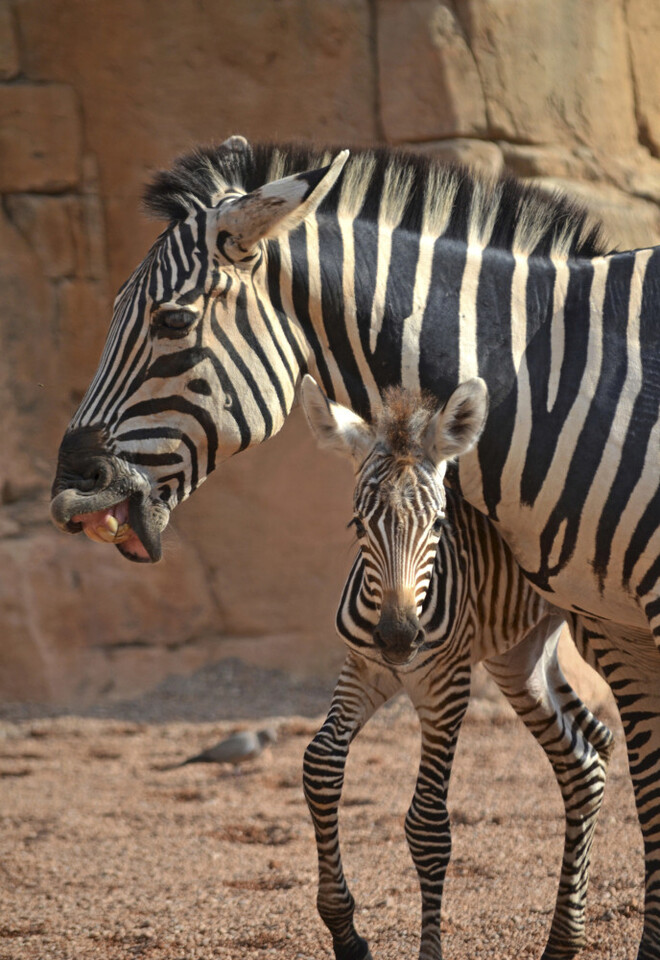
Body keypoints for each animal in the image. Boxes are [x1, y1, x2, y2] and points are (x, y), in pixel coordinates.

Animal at [300, 373, 614, 960]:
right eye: (358, 524)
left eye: (439, 524)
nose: (400, 637)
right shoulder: (363, 670)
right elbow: (321, 764)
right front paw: (345, 932)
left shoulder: (447, 687)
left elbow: (428, 825)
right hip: (520, 661)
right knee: (585, 761)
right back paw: (565, 937)